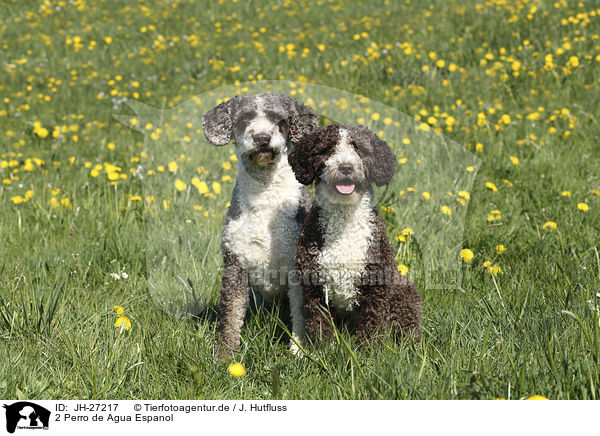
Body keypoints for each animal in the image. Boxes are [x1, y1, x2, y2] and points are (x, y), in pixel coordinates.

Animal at [203, 93, 318, 360]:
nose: (262, 137)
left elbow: (301, 313)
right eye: (244, 118)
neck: (265, 200)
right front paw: (224, 355)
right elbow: (230, 315)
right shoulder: (235, 266)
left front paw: (299, 350)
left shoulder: (297, 268)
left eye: (278, 118)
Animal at [290, 123, 422, 344]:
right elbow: (320, 327)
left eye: (359, 149)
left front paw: (368, 350)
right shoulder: (315, 288)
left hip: (403, 294)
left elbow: (371, 328)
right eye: (328, 149)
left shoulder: (375, 285)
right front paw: (322, 350)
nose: (346, 167)